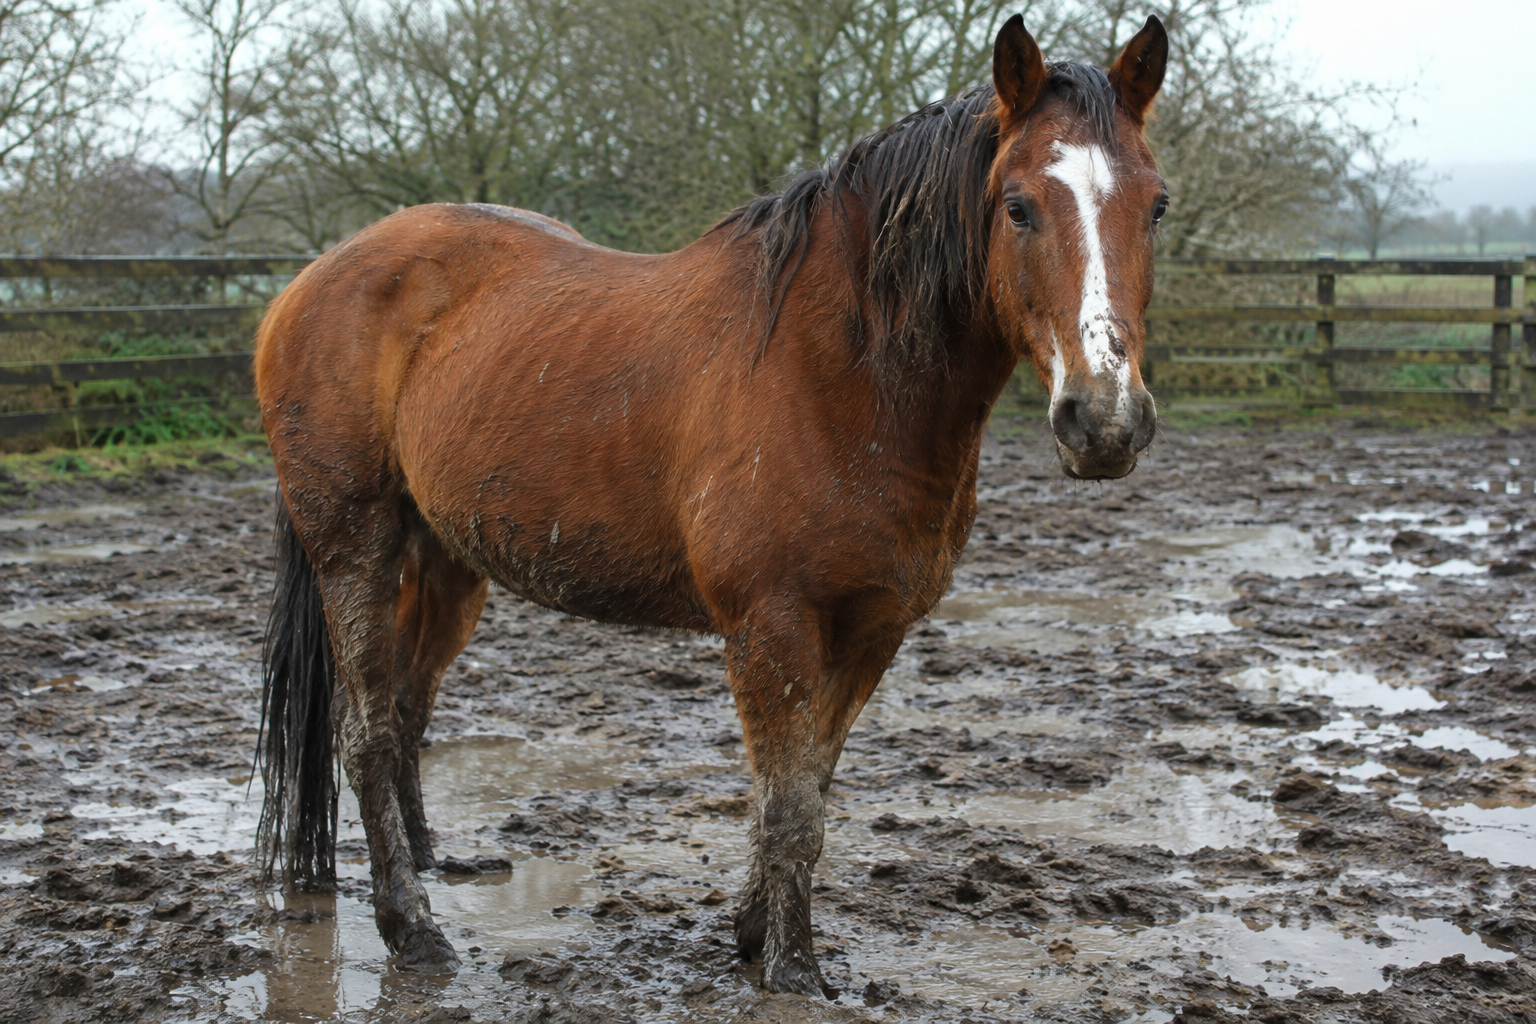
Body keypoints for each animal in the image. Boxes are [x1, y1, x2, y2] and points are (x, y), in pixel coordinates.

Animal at [253, 13, 1168, 996]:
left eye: (1156, 206)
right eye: (1018, 206)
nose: (1104, 420)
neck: (842, 374)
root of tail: (310, 281)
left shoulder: (870, 628)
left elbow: (803, 791)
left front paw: (754, 932)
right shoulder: (772, 625)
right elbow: (789, 805)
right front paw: (794, 972)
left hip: (446, 562)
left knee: (408, 708)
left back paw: (435, 864)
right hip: (353, 548)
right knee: (367, 733)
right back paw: (410, 928)